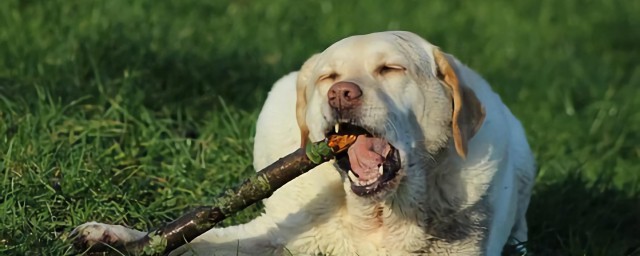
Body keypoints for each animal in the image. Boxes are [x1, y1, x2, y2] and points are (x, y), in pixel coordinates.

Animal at [72, 31, 536, 255]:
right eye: (329, 77)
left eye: (390, 69)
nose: (341, 94)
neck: (379, 216)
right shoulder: (271, 237)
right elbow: (196, 241)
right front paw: (113, 236)